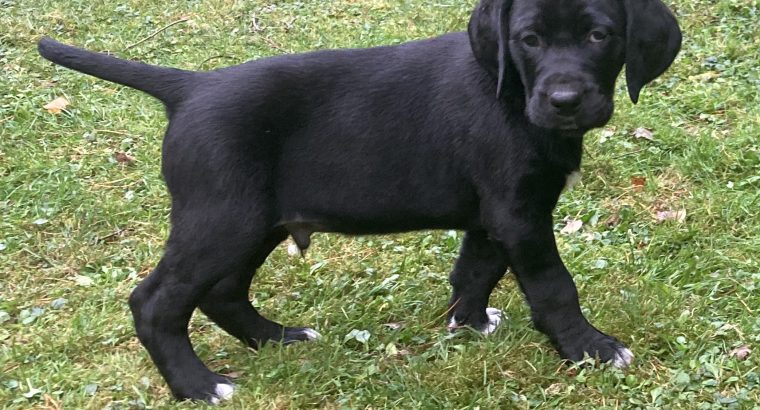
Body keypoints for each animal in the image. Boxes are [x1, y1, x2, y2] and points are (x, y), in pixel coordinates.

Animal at [35, 0, 680, 404]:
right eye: (530, 40)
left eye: (599, 36)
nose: (565, 100)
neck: (513, 91)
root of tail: (190, 88)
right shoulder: (518, 215)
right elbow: (553, 287)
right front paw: (588, 348)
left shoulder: (495, 214)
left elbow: (475, 270)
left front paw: (468, 324)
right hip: (221, 220)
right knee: (155, 303)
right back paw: (198, 385)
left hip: (256, 222)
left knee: (222, 292)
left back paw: (277, 338)